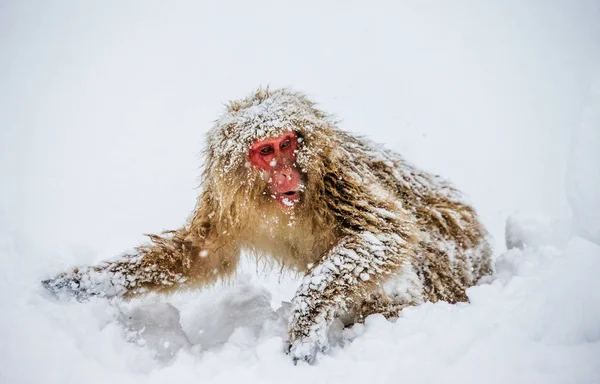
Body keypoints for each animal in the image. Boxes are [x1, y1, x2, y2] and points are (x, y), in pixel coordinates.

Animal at [43, 87, 492, 364]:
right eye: (264, 151)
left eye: (287, 144)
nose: (285, 174)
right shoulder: (226, 199)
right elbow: (200, 255)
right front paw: (85, 283)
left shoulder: (336, 176)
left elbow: (387, 233)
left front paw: (306, 320)